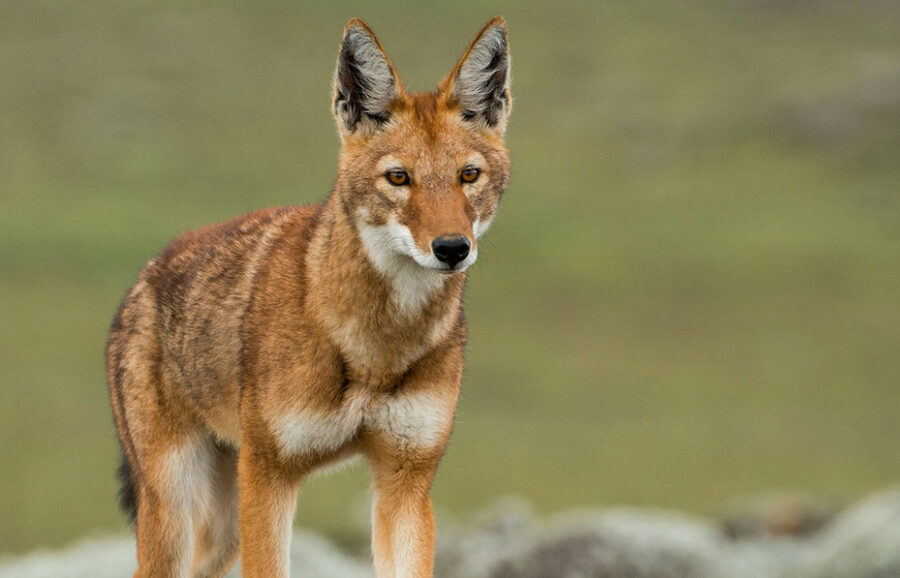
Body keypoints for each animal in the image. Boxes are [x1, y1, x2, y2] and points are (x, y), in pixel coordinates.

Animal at [106, 16, 511, 578]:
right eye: (399, 178)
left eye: (468, 176)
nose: (452, 248)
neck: (374, 348)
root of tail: (142, 280)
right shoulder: (269, 475)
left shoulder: (405, 484)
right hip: (178, 508)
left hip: (221, 530)